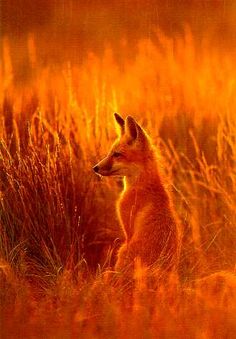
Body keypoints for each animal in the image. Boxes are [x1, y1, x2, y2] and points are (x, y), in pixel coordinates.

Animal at [92, 114, 181, 276]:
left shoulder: (127, 231)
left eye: (117, 155)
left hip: (122, 250)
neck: (142, 185)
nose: (95, 168)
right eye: (110, 152)